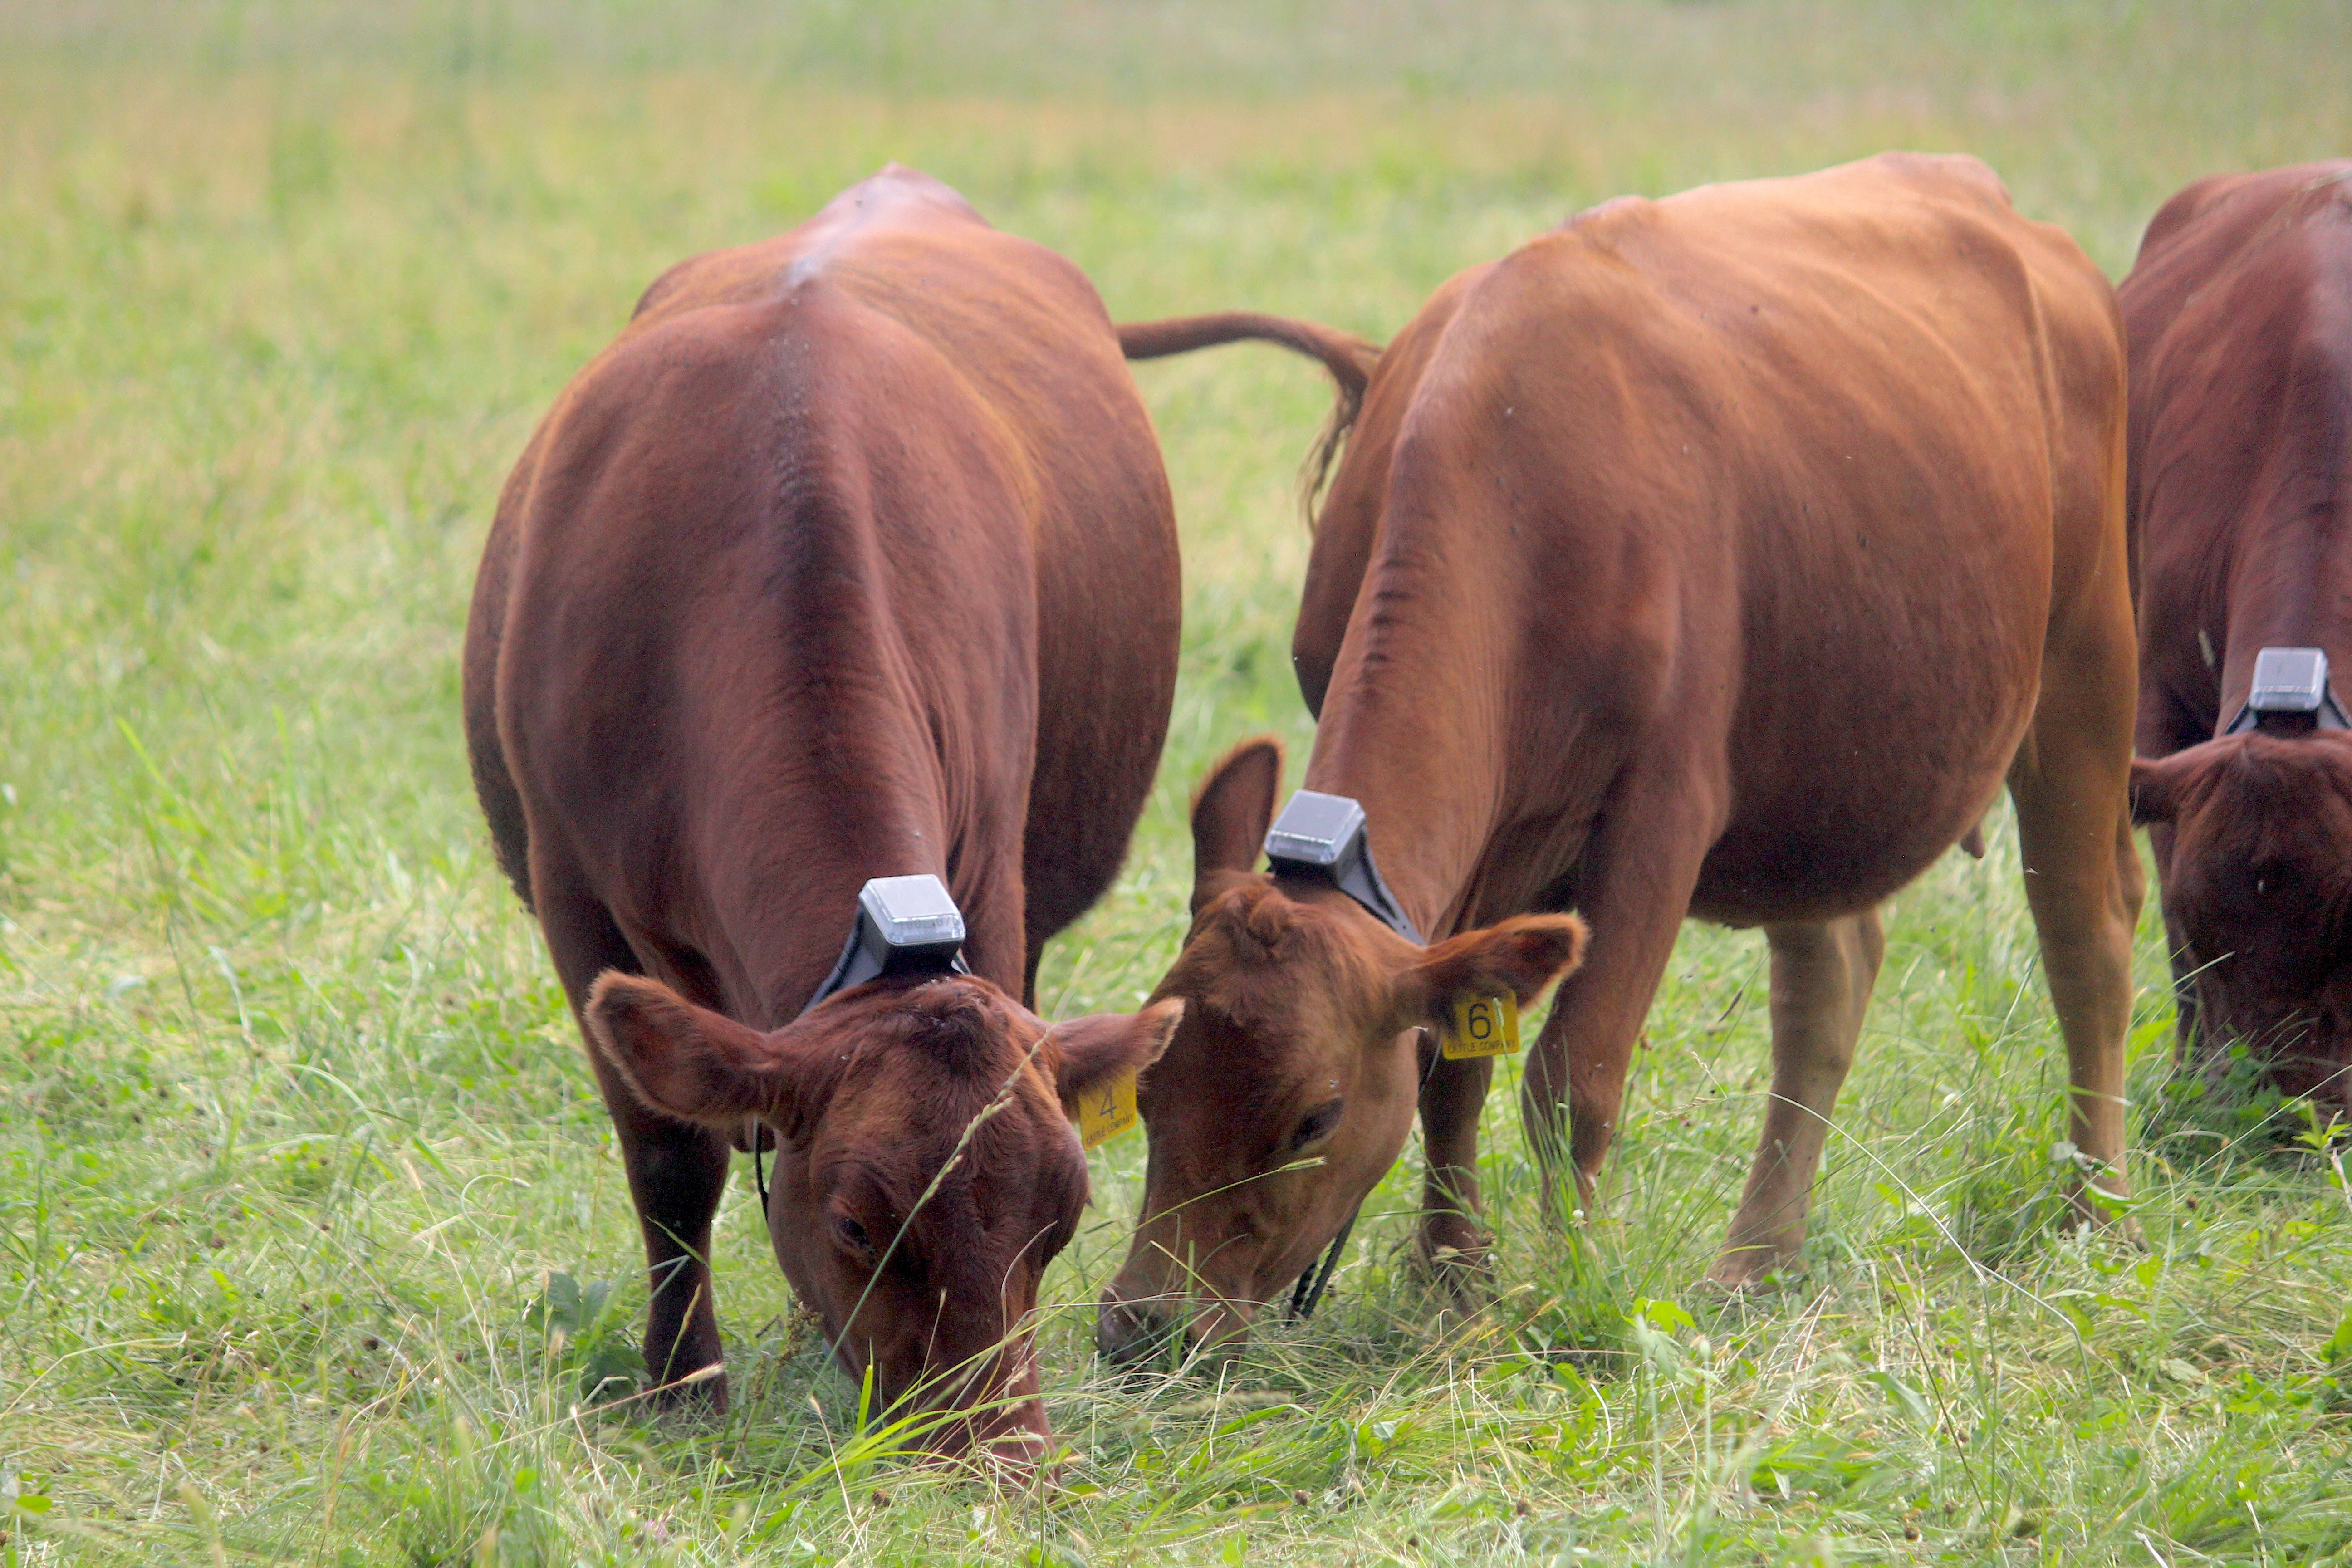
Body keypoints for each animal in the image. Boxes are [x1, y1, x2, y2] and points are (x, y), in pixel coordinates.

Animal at [464, 165, 1214, 1463]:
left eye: (1062, 1219)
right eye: (859, 1224)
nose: (1001, 1458)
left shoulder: (996, 864)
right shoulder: (573, 896)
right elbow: (669, 1159)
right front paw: (683, 1382)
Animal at [1098, 153, 2144, 1362]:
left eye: (1313, 1115)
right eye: (1152, 1084)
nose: (1141, 1323)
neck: (1514, 477)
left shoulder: (1662, 808)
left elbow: (1574, 1078)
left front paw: (1568, 1288)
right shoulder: (1490, 848)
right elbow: (1449, 1062)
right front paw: (1451, 1278)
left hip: (2083, 661)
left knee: (2086, 936)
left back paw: (2093, 1213)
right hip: (1819, 760)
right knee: (1828, 982)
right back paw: (1755, 1259)